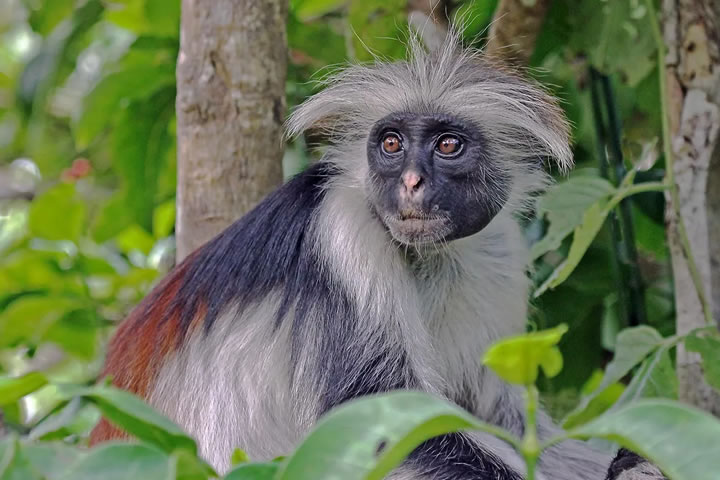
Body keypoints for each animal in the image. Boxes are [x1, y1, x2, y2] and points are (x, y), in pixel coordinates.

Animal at [88, 32, 664, 480]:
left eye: (447, 146)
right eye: (391, 144)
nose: (410, 182)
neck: (425, 256)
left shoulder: (498, 248)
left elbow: (505, 419)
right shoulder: (345, 231)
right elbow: (380, 426)